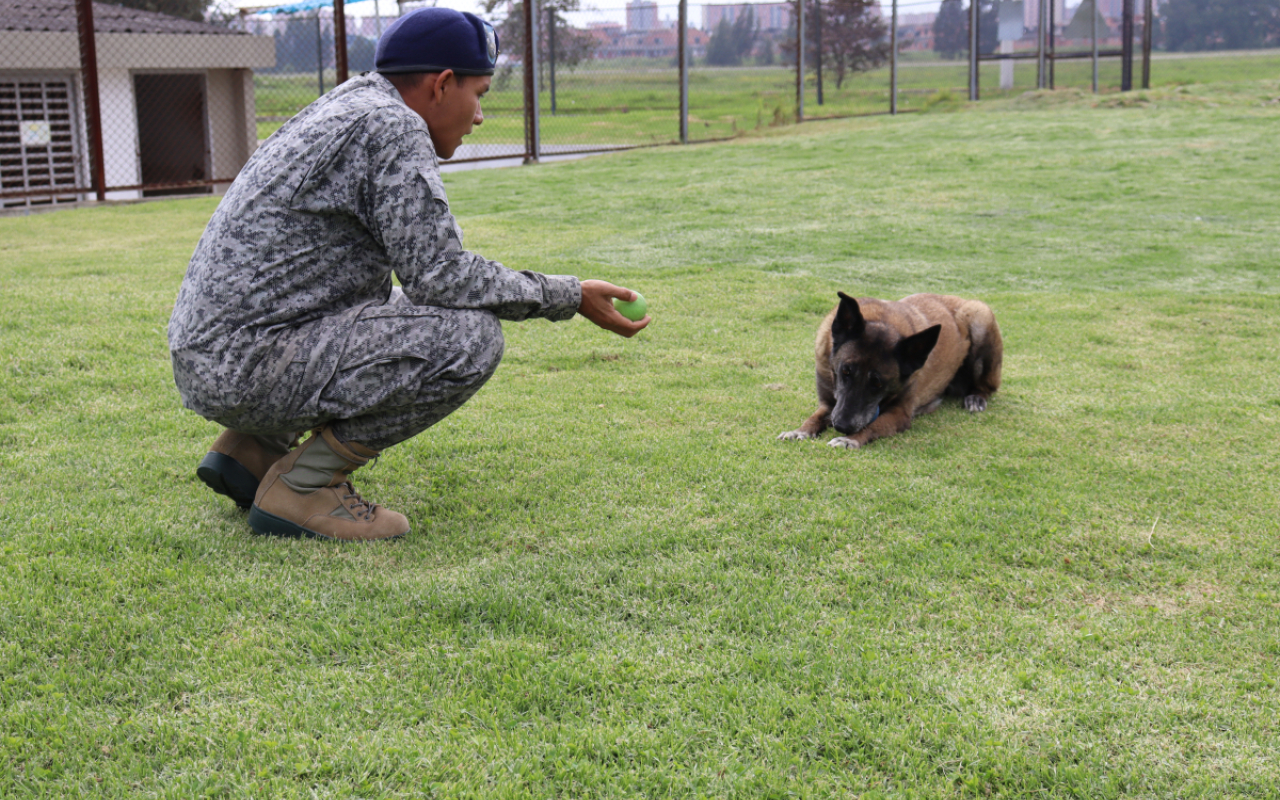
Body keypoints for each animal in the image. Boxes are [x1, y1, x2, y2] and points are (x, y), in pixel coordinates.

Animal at [773, 290, 1003, 445]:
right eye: (845, 371)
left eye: (878, 383)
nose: (842, 426)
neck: (882, 321)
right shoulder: (829, 404)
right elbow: (815, 417)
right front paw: (800, 430)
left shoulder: (900, 414)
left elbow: (874, 424)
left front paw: (851, 439)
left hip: (979, 317)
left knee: (988, 387)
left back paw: (976, 398)